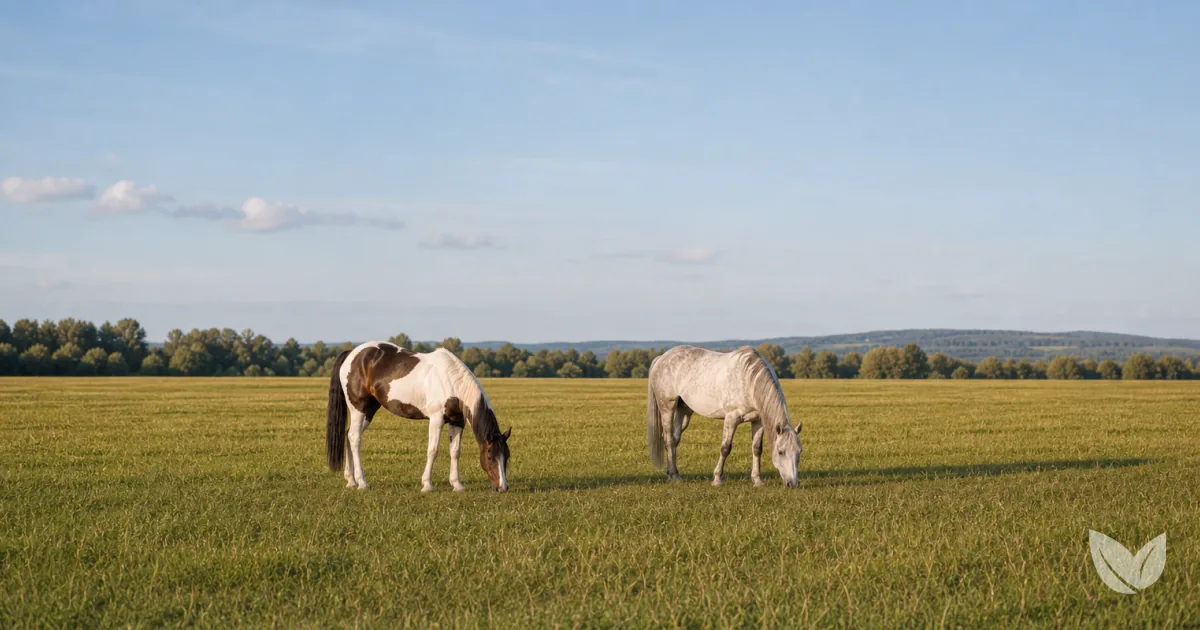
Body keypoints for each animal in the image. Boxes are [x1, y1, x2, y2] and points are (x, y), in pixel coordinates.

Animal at [326, 341, 511, 492]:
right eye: (490, 456)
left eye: (507, 456)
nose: (503, 488)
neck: (452, 382)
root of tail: (352, 353)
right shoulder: (436, 419)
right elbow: (433, 450)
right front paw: (427, 485)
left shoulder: (457, 421)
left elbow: (455, 452)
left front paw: (457, 485)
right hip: (359, 408)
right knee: (355, 439)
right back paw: (362, 483)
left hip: (369, 411)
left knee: (349, 435)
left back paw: (351, 481)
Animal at [647, 345, 803, 487]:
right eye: (781, 452)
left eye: (799, 452)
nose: (793, 483)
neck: (749, 380)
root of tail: (661, 358)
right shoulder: (731, 419)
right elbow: (725, 448)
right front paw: (717, 479)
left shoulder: (758, 420)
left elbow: (757, 449)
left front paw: (757, 480)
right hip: (667, 407)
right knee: (669, 439)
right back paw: (674, 475)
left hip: (683, 411)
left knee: (675, 439)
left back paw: (672, 473)